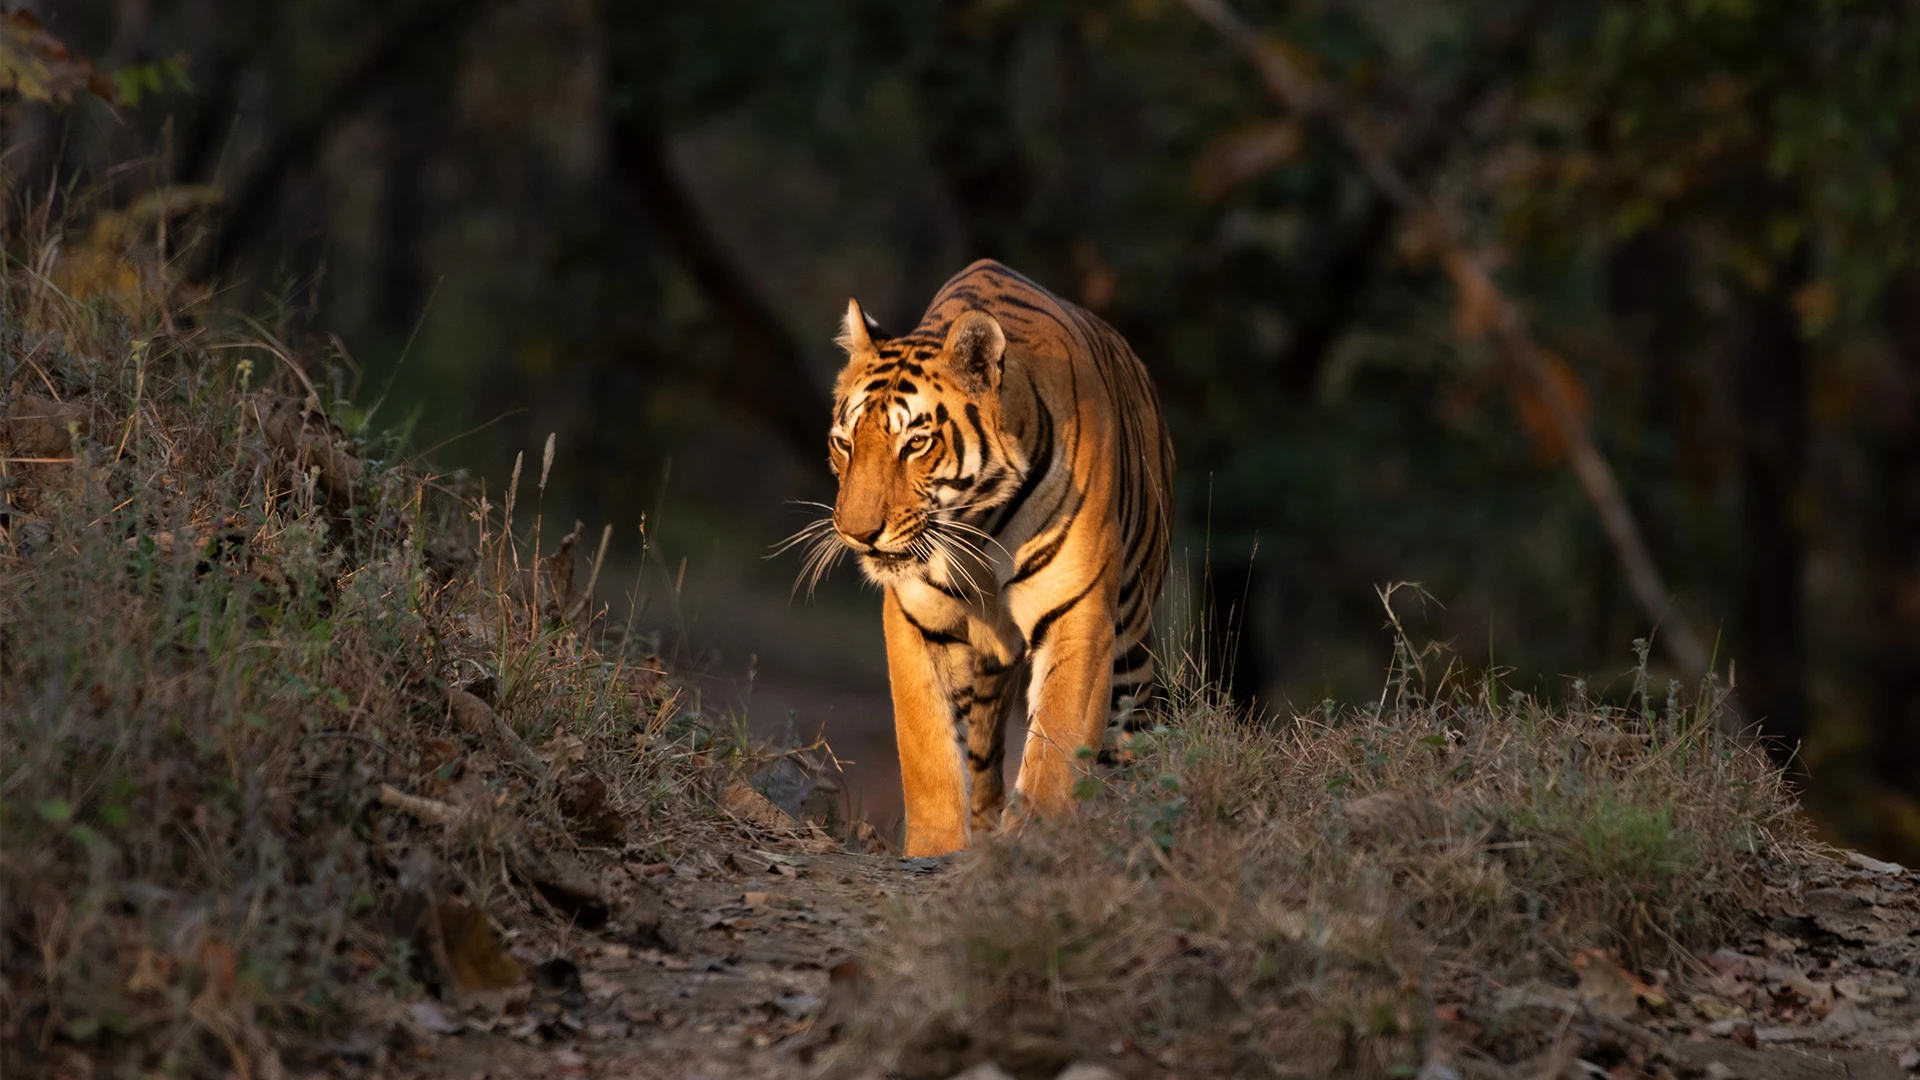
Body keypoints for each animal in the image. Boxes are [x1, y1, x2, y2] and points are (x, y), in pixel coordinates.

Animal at [817, 255, 1175, 853]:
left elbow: (1056, 746)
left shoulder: (1078, 615)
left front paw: (1038, 841)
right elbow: (930, 754)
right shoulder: (916, 620)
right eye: (844, 443)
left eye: (915, 443)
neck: (975, 524)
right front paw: (938, 850)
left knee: (1131, 733)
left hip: (1131, 631)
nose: (856, 533)